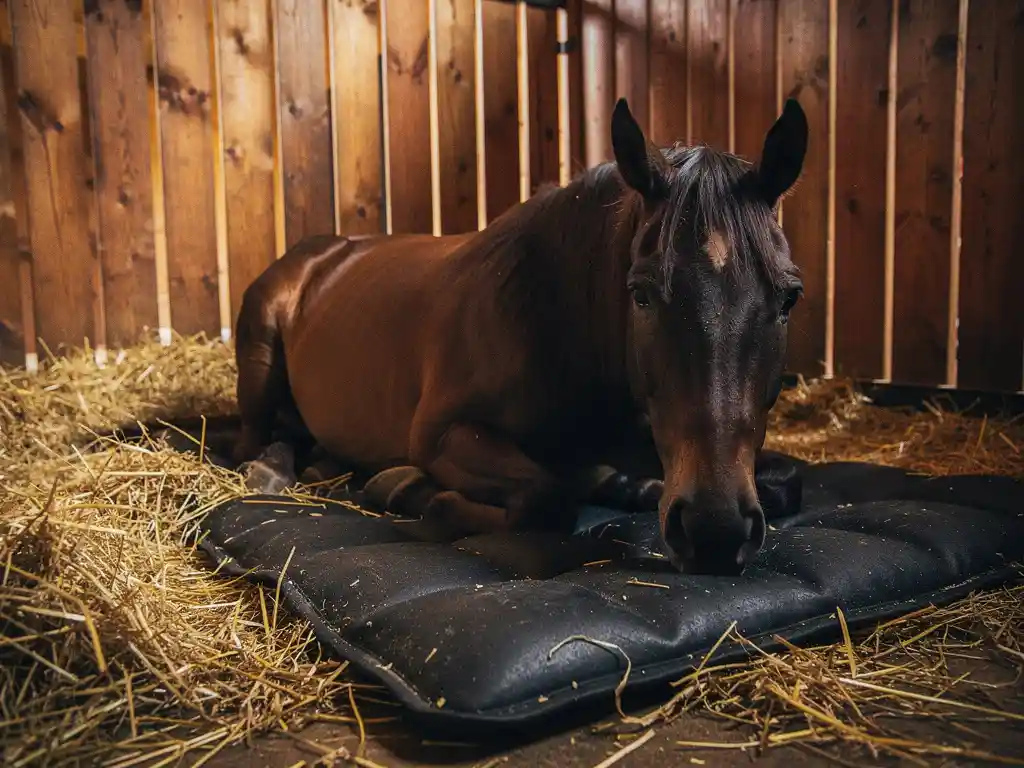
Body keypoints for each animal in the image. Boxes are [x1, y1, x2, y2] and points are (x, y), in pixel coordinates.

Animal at [232, 97, 809, 576]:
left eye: (788, 299)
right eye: (642, 294)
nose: (715, 531)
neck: (553, 324)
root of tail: (327, 250)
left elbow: (789, 482)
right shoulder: (441, 433)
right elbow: (542, 498)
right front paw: (413, 490)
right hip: (259, 356)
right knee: (255, 436)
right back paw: (270, 469)